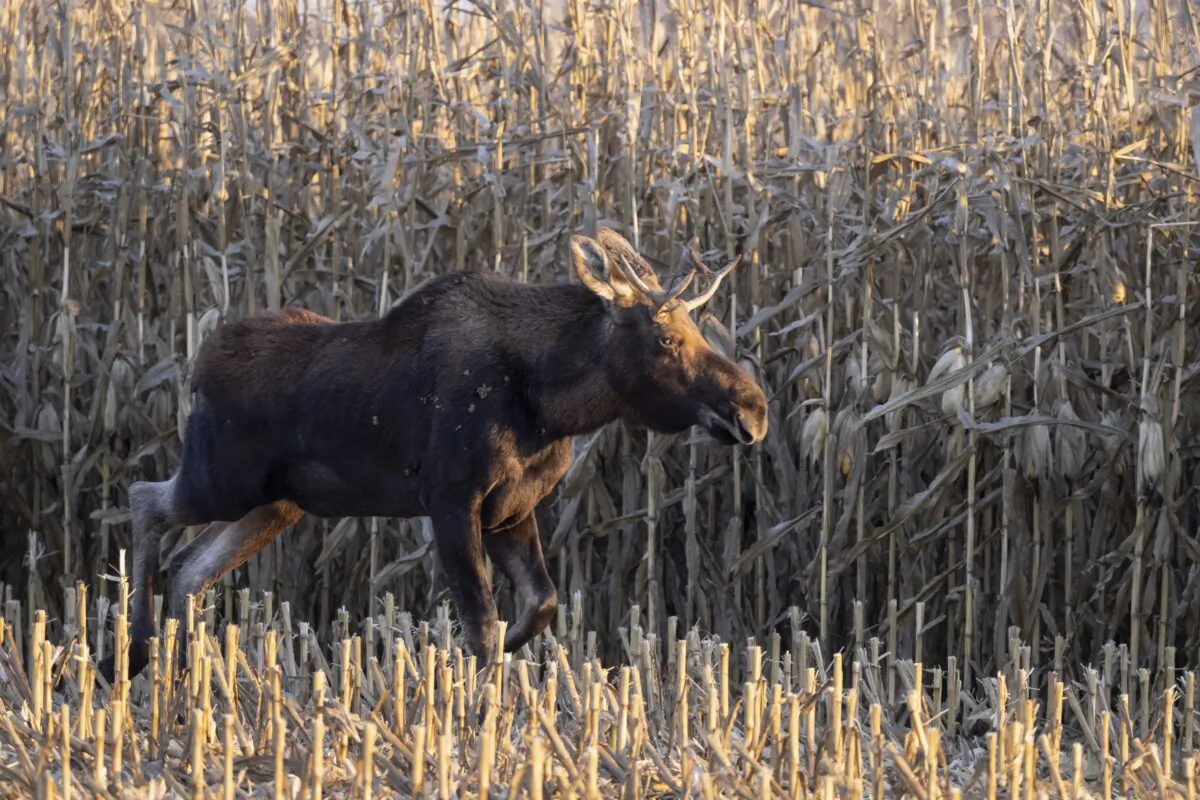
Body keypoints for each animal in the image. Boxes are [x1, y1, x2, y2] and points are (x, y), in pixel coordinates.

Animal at [96, 227, 769, 685]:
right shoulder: (450, 499)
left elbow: (540, 604)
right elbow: (481, 620)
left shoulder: (511, 510)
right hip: (220, 479)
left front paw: (495, 659)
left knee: (191, 567)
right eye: (666, 338)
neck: (550, 402)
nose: (754, 409)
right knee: (144, 500)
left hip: (277, 504)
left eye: (700, 330)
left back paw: (182, 675)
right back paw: (130, 655)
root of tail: (197, 368)